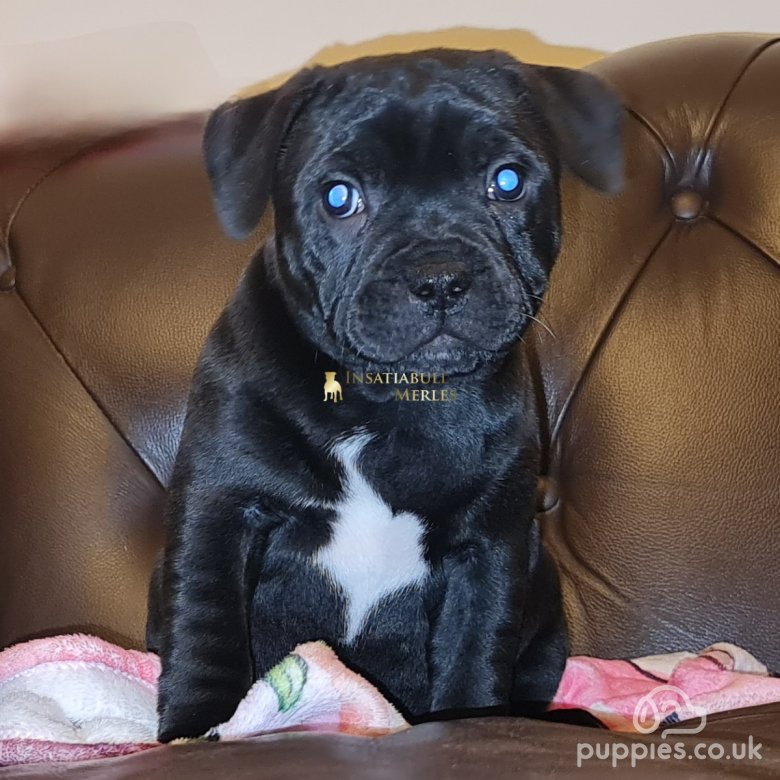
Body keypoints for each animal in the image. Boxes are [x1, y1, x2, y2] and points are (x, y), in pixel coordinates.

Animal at [146, 48, 620, 744]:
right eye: (339, 197)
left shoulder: (490, 548)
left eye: (507, 182)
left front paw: (475, 725)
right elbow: (207, 629)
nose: (440, 277)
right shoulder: (221, 510)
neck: (391, 399)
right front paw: (198, 730)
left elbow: (474, 652)